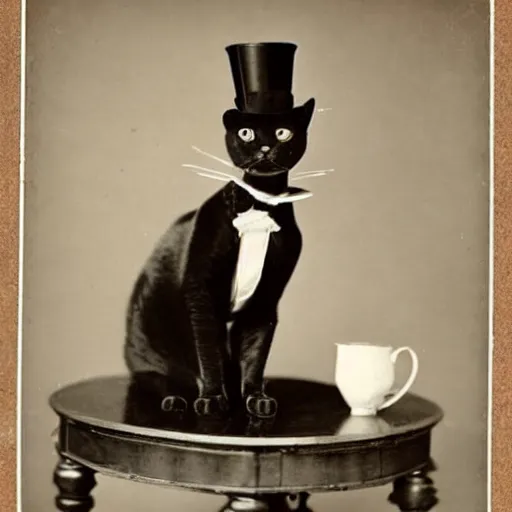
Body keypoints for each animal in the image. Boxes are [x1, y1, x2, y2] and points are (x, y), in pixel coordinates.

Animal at [124, 41, 316, 420]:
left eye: (283, 131)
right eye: (246, 132)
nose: (264, 146)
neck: (260, 204)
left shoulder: (265, 299)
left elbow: (256, 353)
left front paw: (255, 396)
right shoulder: (201, 290)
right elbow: (207, 352)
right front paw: (213, 398)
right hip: (146, 342)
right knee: (158, 377)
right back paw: (177, 398)